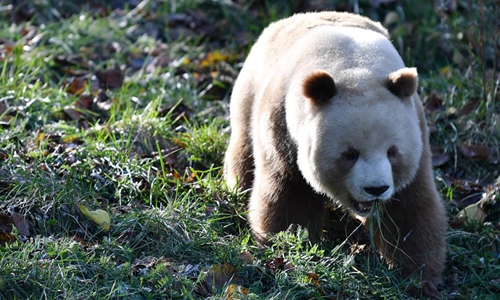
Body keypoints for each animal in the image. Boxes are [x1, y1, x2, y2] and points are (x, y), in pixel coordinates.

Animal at [225, 10, 448, 284]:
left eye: (392, 152)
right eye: (349, 154)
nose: (376, 189)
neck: (354, 67)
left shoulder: (416, 126)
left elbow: (409, 209)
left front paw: (417, 275)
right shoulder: (283, 125)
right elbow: (289, 194)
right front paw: (288, 247)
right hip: (250, 91)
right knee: (244, 146)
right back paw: (239, 185)